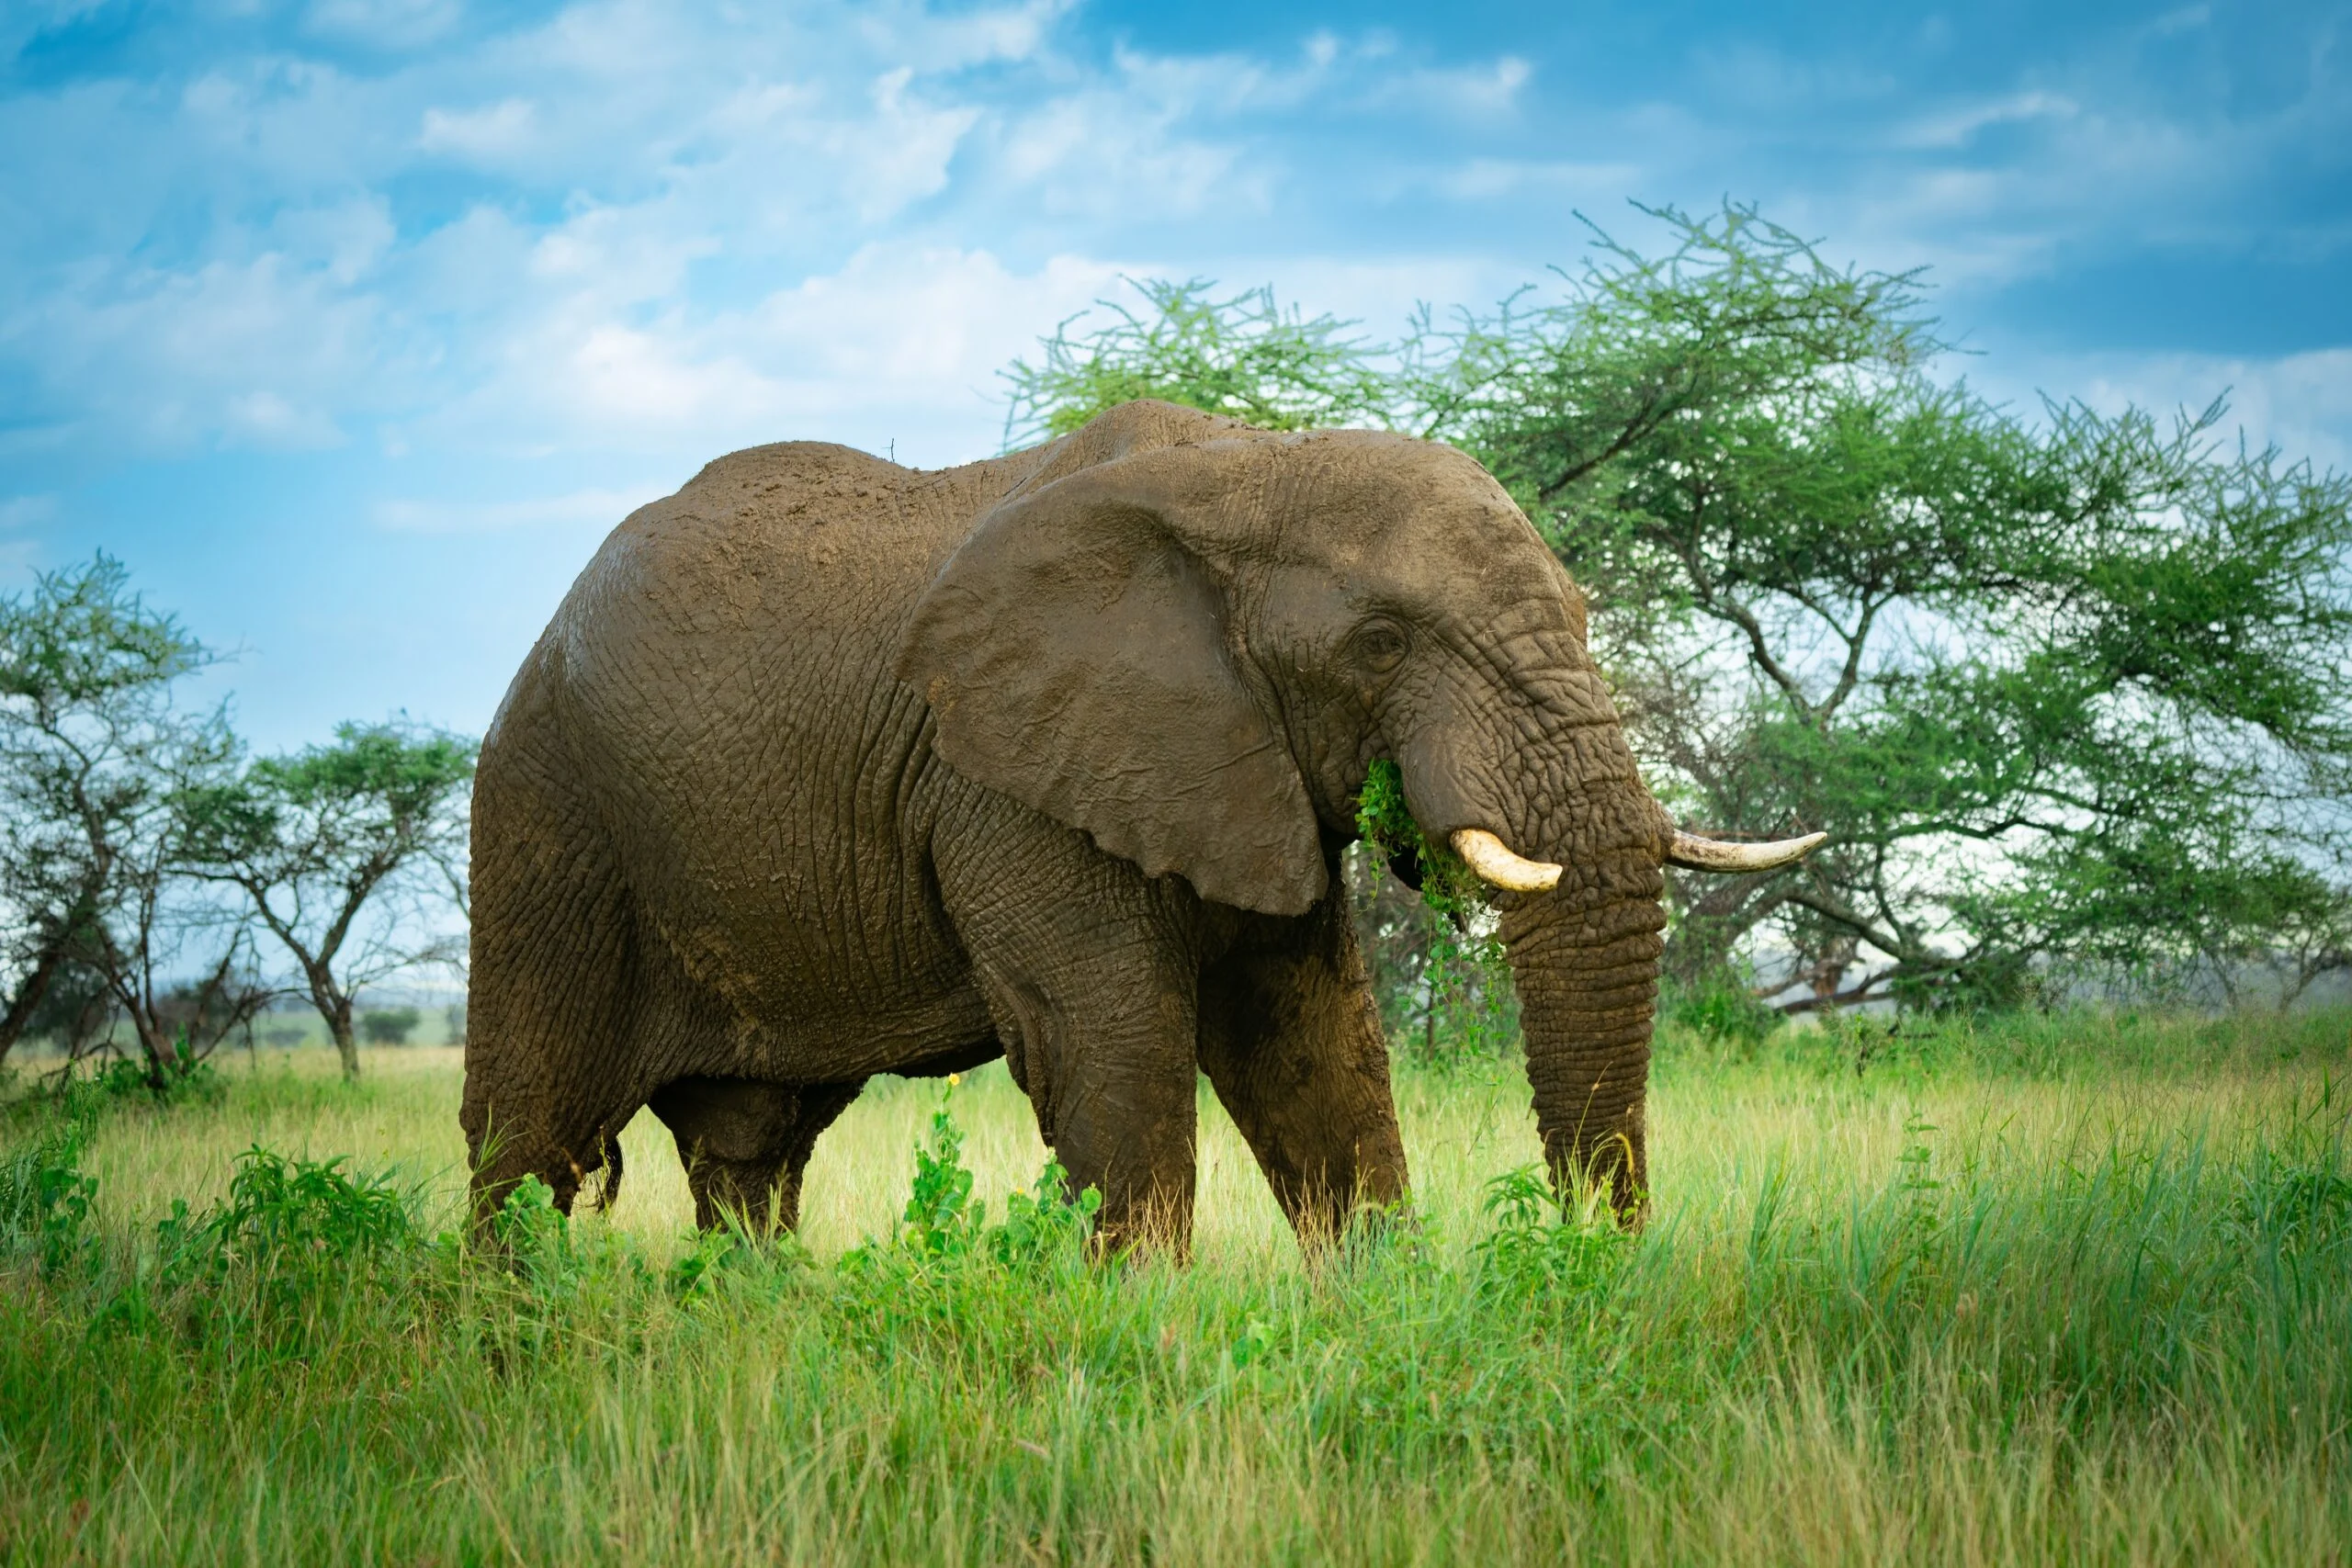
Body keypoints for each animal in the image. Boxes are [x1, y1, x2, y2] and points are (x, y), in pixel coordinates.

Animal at [460, 399, 1818, 1253]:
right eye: (1381, 643)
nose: (1594, 1255)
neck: (1249, 465)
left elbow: (1312, 1046)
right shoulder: (1007, 777)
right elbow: (1108, 1045)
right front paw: (1135, 1342)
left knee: (750, 1151)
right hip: (547, 816)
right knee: (526, 1142)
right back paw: (501, 1351)